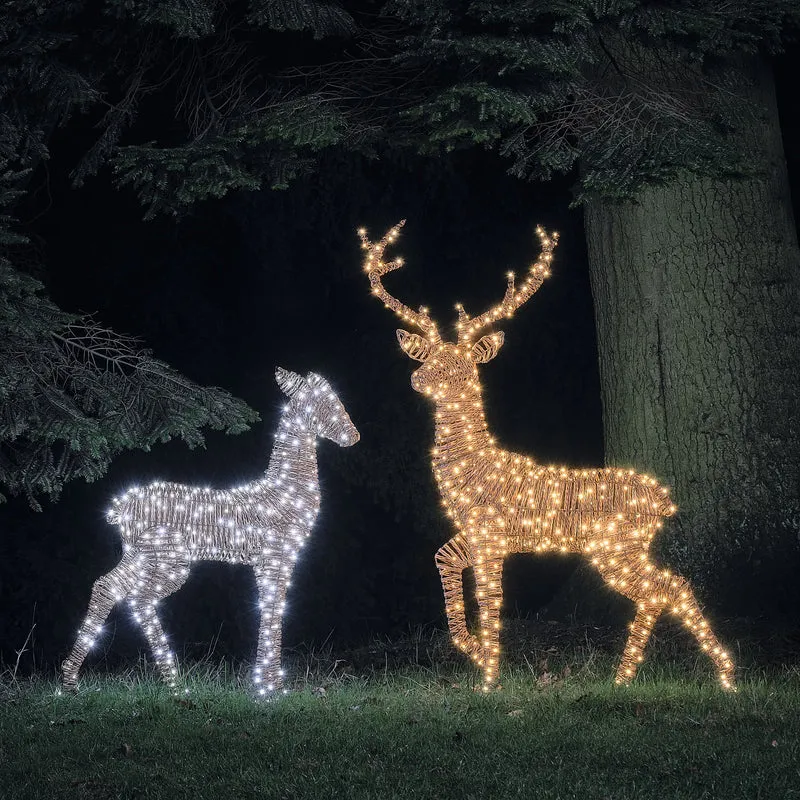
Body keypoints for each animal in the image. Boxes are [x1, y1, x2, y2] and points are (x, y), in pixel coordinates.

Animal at [61, 368, 360, 696]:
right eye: (323, 401)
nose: (353, 435)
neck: (284, 491)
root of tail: (122, 507)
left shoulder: (270, 560)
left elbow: (271, 606)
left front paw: (269, 683)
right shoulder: (275, 555)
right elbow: (272, 606)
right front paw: (269, 689)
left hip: (138, 555)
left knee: (107, 586)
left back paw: (70, 680)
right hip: (169, 559)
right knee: (140, 598)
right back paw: (174, 682)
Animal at [359, 221, 735, 692]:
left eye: (463, 365)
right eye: (430, 356)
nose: (419, 377)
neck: (471, 466)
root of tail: (664, 501)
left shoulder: (490, 533)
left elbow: (491, 599)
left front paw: (489, 678)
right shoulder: (475, 534)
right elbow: (442, 560)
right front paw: (475, 653)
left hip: (616, 545)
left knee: (670, 586)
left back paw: (721, 674)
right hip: (620, 548)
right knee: (664, 588)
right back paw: (626, 677)